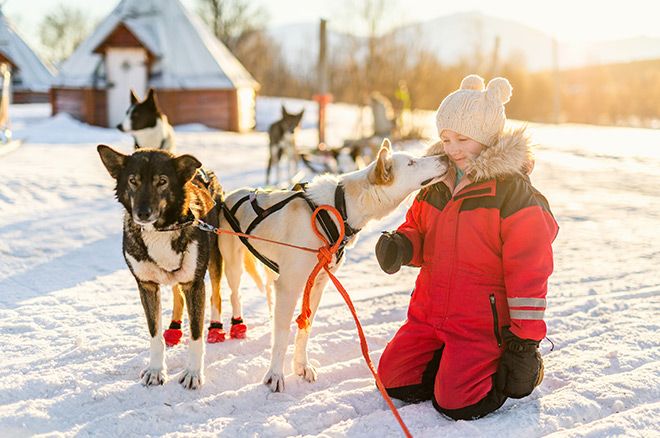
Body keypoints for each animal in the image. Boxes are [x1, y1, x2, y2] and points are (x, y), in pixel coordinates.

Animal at [96, 145, 223, 388]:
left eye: (162, 181)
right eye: (133, 181)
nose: (143, 213)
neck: (161, 230)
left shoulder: (194, 284)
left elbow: (196, 335)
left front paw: (193, 373)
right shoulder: (146, 286)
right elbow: (154, 332)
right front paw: (156, 370)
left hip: (215, 261)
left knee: (217, 296)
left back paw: (217, 328)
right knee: (177, 297)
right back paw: (173, 329)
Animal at [219, 139, 452, 392]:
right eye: (411, 163)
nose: (446, 157)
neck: (340, 209)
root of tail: (230, 194)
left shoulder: (317, 284)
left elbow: (305, 327)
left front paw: (301, 365)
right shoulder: (290, 286)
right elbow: (282, 335)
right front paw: (275, 374)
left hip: (272, 272)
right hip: (234, 266)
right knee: (235, 295)